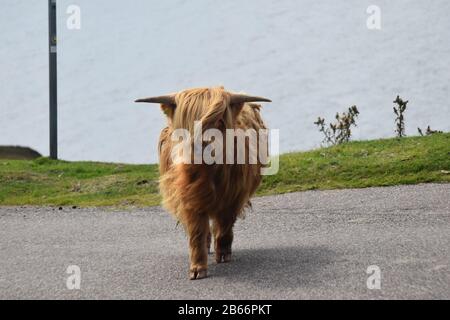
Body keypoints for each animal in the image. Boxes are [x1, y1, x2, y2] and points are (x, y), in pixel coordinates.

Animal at [135, 86, 270, 278]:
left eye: (218, 121)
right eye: (187, 122)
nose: (200, 147)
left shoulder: (233, 197)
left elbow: (225, 225)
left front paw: (223, 253)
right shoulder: (187, 197)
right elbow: (196, 231)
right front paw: (197, 268)